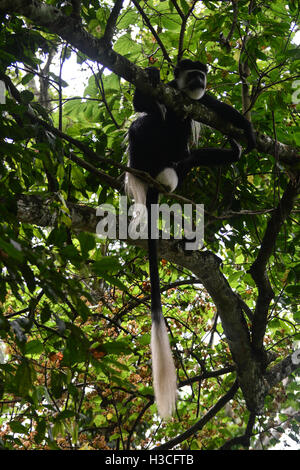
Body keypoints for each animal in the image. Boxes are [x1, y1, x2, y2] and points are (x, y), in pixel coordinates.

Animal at [125, 59, 254, 418]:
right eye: (191, 74)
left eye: (201, 75)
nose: (198, 80)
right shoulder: (173, 93)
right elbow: (141, 105)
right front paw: (151, 75)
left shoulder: (202, 101)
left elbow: (222, 110)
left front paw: (247, 134)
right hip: (144, 157)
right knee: (146, 122)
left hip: (179, 164)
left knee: (189, 156)